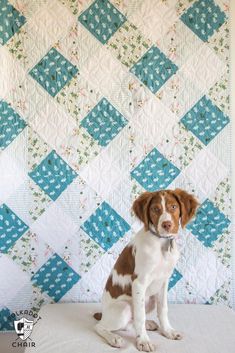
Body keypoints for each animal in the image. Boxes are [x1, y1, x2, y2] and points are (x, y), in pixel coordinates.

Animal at [93, 187, 198, 350]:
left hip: (151, 300)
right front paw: (143, 341)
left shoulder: (164, 281)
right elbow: (140, 316)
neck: (161, 244)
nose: (166, 224)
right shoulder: (139, 283)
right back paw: (114, 338)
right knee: (101, 326)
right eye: (155, 209)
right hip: (123, 308)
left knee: (129, 323)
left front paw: (168, 331)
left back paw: (148, 324)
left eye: (173, 206)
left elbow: (163, 309)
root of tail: (103, 313)